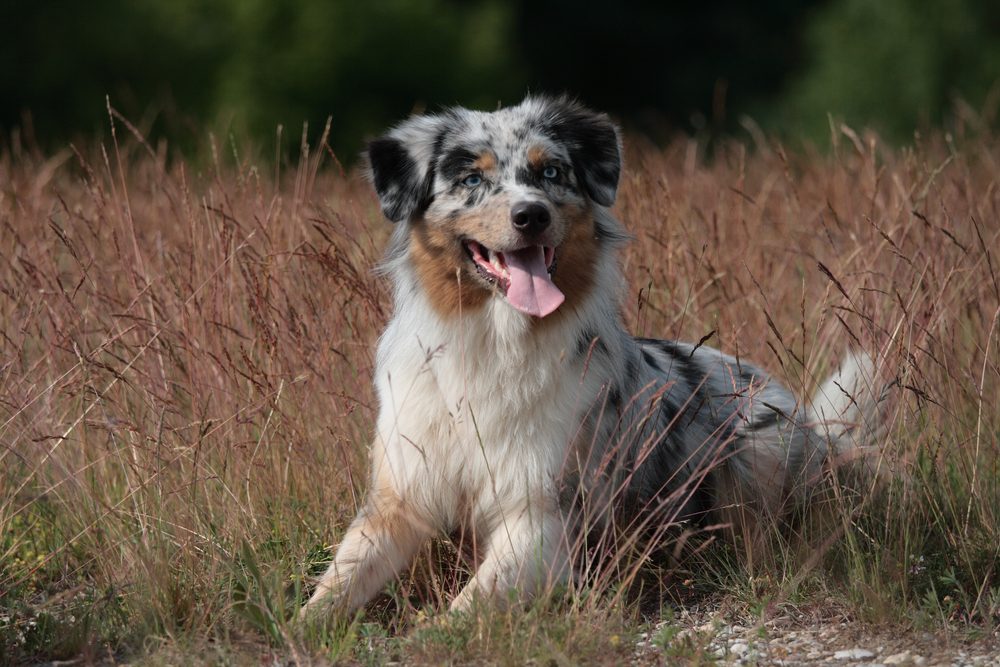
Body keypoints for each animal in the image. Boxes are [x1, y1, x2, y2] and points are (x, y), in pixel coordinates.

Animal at [298, 95, 884, 620]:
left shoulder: (542, 514)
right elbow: (337, 583)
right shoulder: (400, 497)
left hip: (760, 447)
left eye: (551, 172)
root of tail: (812, 421)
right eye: (471, 180)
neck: (491, 343)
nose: (531, 215)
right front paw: (299, 627)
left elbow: (462, 610)